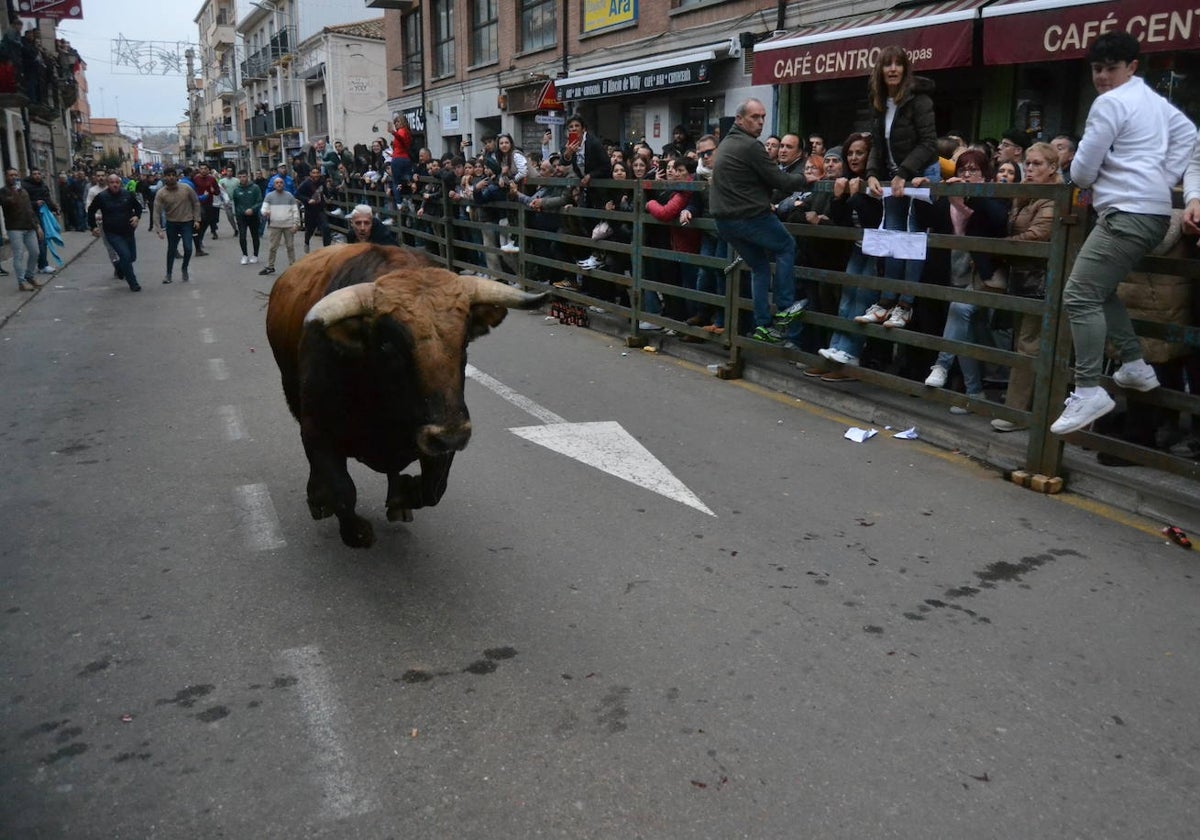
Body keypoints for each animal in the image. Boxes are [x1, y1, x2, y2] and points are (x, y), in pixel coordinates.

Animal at [265, 240, 547, 547]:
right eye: (388, 345)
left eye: (464, 342)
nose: (452, 435)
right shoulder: (316, 431)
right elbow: (342, 490)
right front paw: (352, 527)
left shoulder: (439, 440)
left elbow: (434, 489)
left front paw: (404, 494)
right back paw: (318, 499)